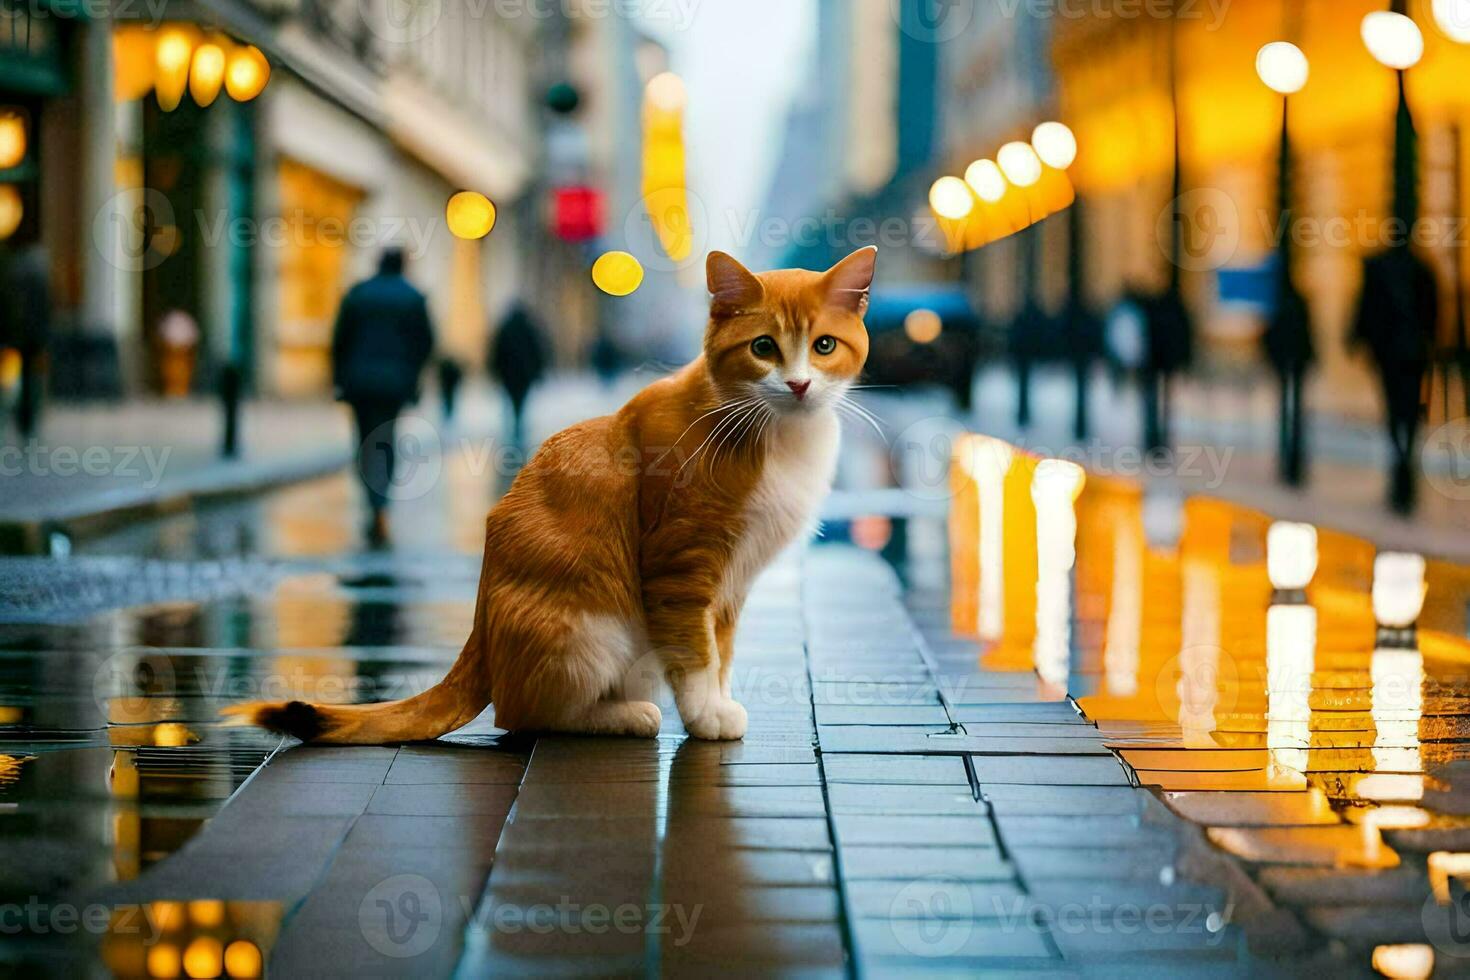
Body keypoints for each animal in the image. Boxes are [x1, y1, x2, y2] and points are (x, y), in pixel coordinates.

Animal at [224, 246, 870, 743]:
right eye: (763, 347)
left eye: (824, 346)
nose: (799, 384)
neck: (772, 431)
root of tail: (481, 635)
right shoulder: (681, 566)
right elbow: (695, 654)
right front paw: (706, 715)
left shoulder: (731, 584)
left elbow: (724, 651)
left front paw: (718, 701)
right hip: (595, 628)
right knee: (522, 715)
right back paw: (626, 716)